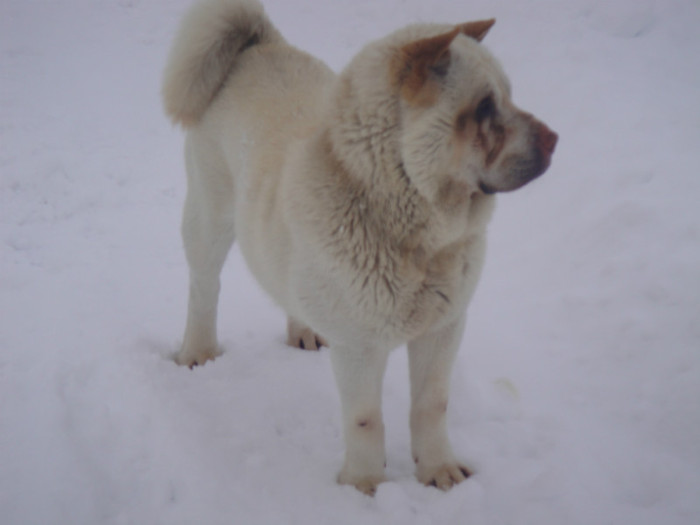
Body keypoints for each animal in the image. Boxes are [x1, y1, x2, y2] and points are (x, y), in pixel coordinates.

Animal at [163, 0, 556, 496]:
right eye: (484, 106)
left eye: (508, 96)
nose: (555, 140)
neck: (414, 235)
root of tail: (257, 45)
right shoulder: (360, 347)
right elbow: (366, 419)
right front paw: (365, 486)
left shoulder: (444, 328)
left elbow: (432, 406)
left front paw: (439, 473)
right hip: (210, 219)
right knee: (203, 286)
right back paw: (198, 353)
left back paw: (304, 331)